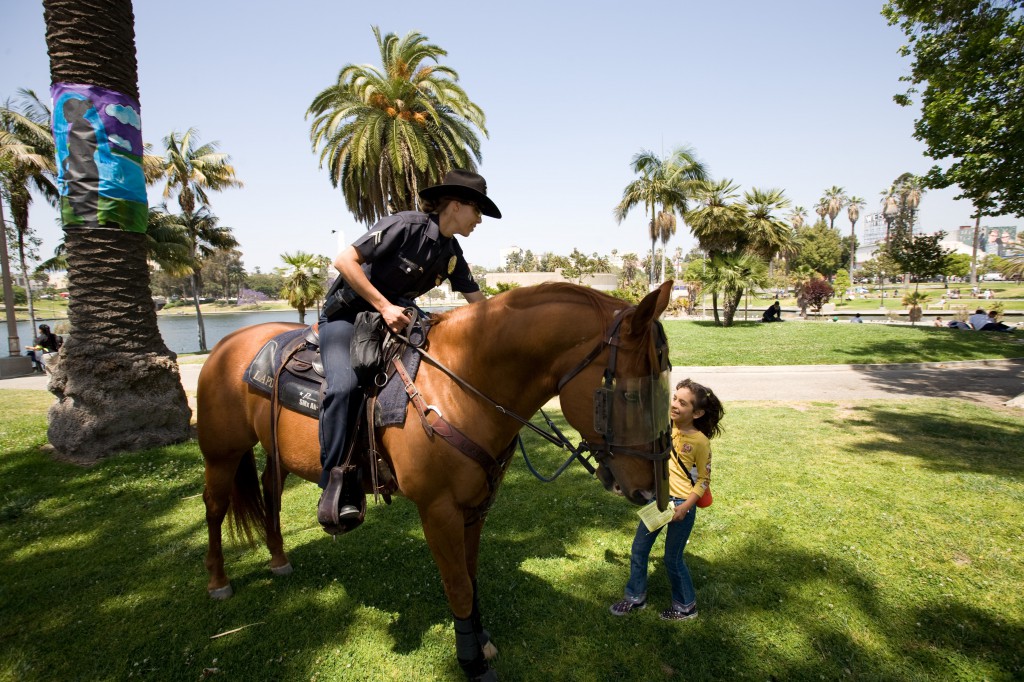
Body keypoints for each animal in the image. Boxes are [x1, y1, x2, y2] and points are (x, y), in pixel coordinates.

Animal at [198, 278, 675, 675]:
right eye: (633, 395)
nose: (651, 491)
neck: (461, 385)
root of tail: (226, 344)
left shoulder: (476, 507)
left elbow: (471, 576)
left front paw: (480, 639)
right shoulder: (438, 510)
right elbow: (458, 585)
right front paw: (471, 661)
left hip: (273, 453)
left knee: (270, 495)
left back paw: (278, 558)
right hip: (222, 454)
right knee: (215, 508)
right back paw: (218, 581)